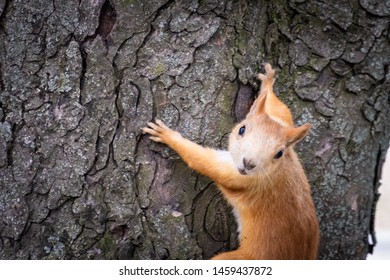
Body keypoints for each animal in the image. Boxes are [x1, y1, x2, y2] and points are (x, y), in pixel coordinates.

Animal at [143, 64, 320, 260]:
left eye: (279, 153)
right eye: (242, 129)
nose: (248, 163)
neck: (279, 169)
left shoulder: (241, 178)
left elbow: (204, 163)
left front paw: (168, 136)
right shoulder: (284, 124)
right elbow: (280, 109)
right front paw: (268, 82)